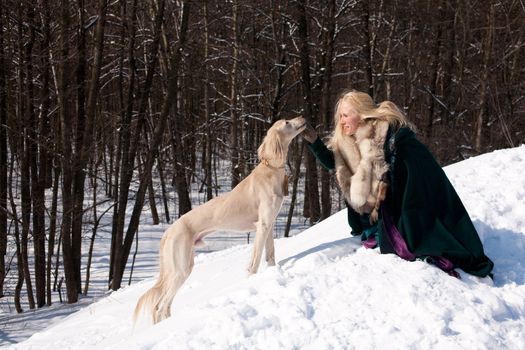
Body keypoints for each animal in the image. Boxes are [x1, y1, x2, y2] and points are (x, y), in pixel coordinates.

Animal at [134, 116, 308, 324]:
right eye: (287, 122)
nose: (303, 117)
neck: (270, 170)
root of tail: (168, 231)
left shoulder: (269, 225)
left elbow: (270, 256)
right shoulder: (263, 225)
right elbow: (254, 262)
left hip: (183, 267)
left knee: (162, 307)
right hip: (180, 269)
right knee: (160, 307)